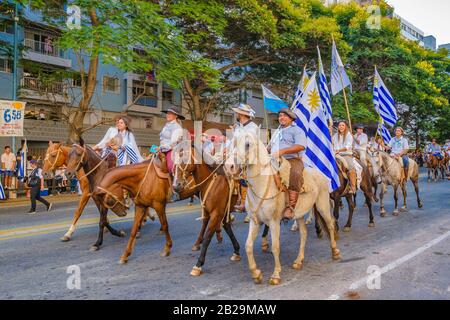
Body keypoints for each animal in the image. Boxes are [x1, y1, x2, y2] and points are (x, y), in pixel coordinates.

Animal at [172, 145, 243, 276]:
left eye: (185, 157)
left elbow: (207, 237)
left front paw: (198, 264)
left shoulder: (216, 214)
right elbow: (226, 228)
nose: (175, 186)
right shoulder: (217, 212)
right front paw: (236, 251)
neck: (212, 183)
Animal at [227, 131, 340, 286]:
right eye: (233, 142)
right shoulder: (255, 221)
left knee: (330, 224)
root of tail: (321, 175)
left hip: (322, 205)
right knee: (304, 233)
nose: (229, 166)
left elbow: (275, 247)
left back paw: (335, 252)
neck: (262, 184)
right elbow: (248, 246)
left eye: (248, 144)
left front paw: (275, 275)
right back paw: (298, 261)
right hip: (299, 214)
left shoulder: (274, 222)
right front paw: (256, 274)